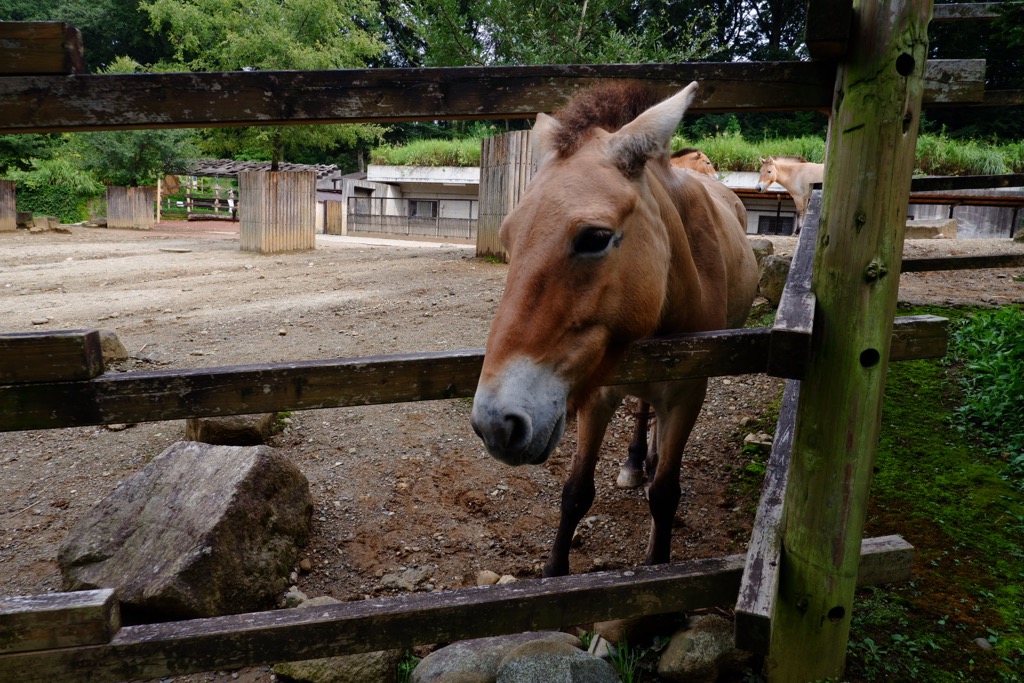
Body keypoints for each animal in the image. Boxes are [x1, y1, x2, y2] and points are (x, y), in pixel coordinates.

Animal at [468, 82, 757, 581]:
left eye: (595, 237)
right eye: (508, 237)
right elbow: (576, 491)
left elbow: (665, 495)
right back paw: (637, 461)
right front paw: (554, 572)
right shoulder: (598, 393)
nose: (496, 424)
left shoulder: (688, 392)